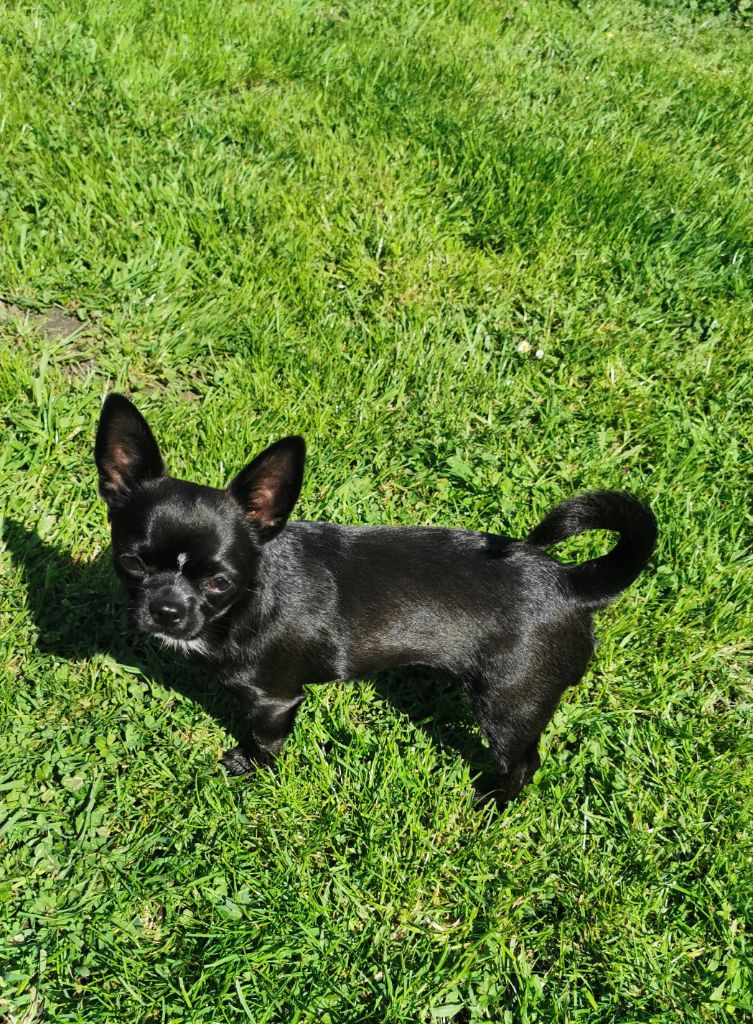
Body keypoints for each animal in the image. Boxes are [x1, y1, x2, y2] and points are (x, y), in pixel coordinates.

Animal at [97, 391, 655, 798]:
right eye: (131, 563)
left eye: (219, 583)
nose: (165, 609)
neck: (249, 598)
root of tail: (571, 584)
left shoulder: (274, 699)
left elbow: (265, 739)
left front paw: (250, 766)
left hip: (508, 705)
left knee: (524, 761)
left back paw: (495, 801)